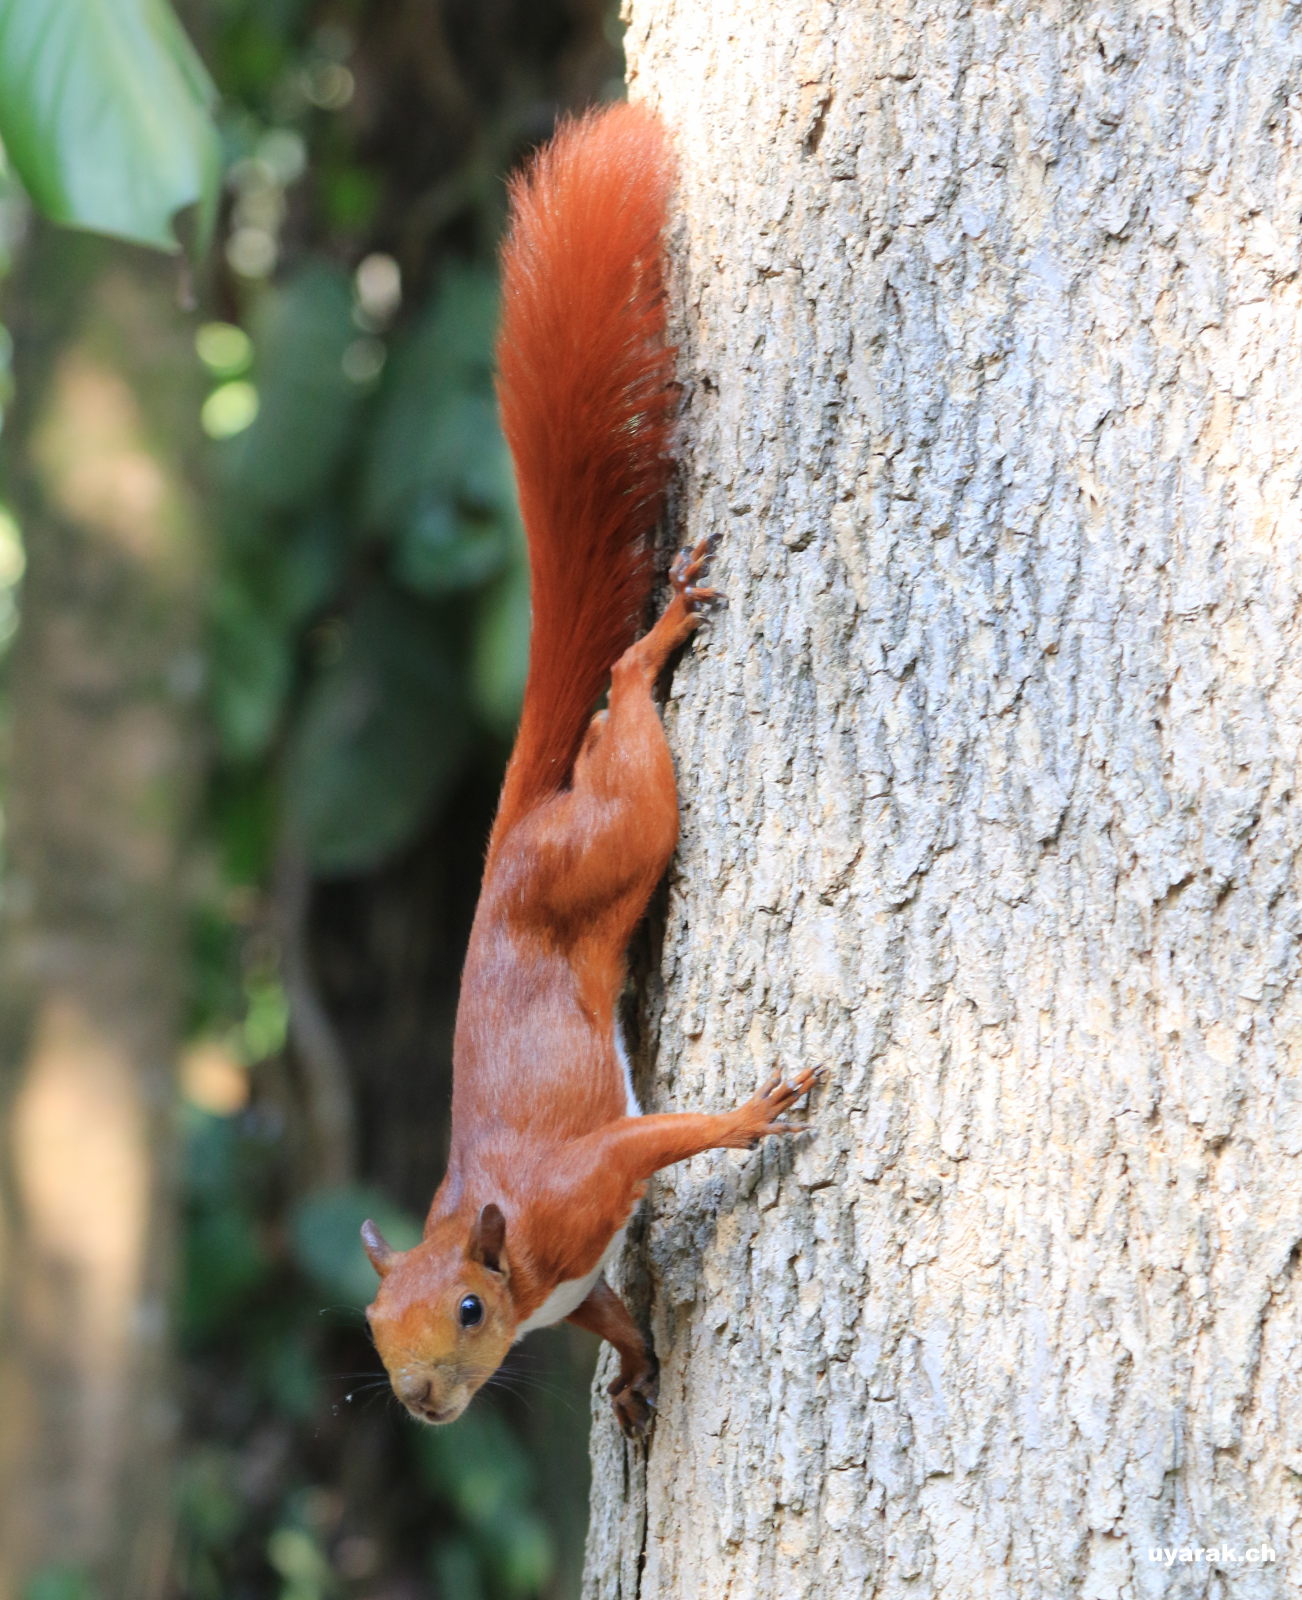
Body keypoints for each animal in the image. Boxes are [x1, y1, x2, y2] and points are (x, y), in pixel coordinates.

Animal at [360, 102, 822, 1436]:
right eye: (372, 1328)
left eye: (468, 1310)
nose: (422, 1404)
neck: (504, 1241)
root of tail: (510, 846)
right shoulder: (566, 1285)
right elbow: (606, 1317)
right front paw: (633, 1374)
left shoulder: (584, 1181)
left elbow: (662, 1142)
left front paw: (752, 1114)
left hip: (613, 834)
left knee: (625, 722)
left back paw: (653, 645)